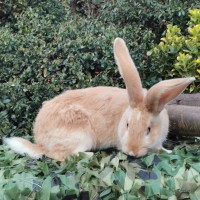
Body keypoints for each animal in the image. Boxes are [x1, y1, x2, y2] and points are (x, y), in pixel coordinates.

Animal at [4, 37, 195, 161]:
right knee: (57, 154)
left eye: (148, 129)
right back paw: (89, 154)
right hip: (80, 135)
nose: (132, 152)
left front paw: (167, 152)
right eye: (127, 125)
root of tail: (40, 142)